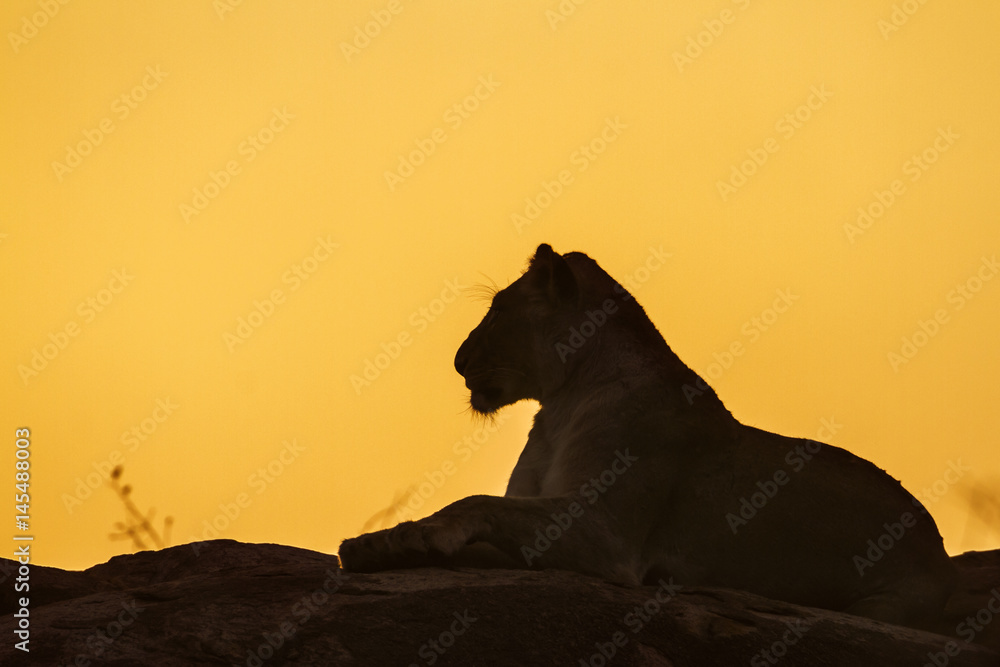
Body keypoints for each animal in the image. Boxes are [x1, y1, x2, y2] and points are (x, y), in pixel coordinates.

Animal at [339, 243, 956, 629]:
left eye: (497, 309)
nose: (458, 360)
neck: (560, 403)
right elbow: (489, 523)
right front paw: (382, 544)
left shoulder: (606, 532)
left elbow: (475, 500)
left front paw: (401, 536)